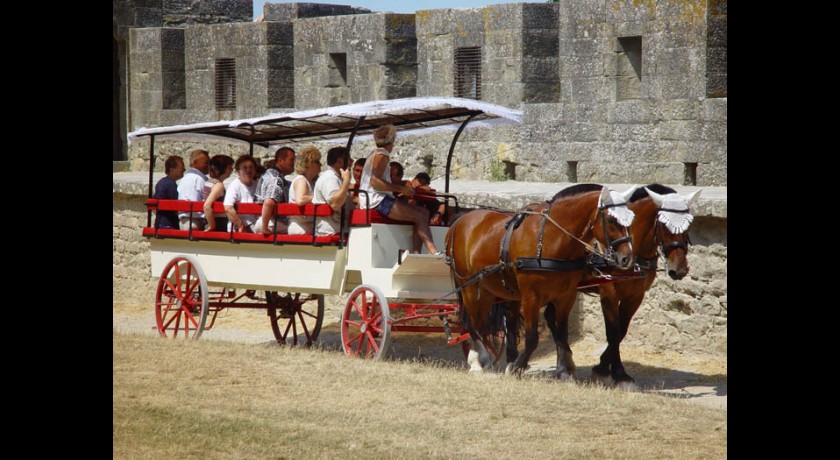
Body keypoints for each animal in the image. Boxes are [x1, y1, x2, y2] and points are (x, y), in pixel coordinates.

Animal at [442, 183, 632, 378]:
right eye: (611, 219)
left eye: (630, 219)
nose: (626, 257)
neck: (550, 238)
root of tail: (458, 221)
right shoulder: (531, 296)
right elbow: (532, 337)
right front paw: (518, 367)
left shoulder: (566, 296)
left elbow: (561, 333)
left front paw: (563, 371)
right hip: (470, 287)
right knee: (471, 323)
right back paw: (482, 360)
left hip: (489, 290)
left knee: (487, 323)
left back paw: (490, 359)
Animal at [540, 185, 700, 386]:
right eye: (664, 225)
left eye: (688, 225)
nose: (679, 270)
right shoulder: (609, 294)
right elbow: (613, 331)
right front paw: (615, 372)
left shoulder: (636, 295)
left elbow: (622, 330)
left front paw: (604, 366)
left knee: (550, 316)